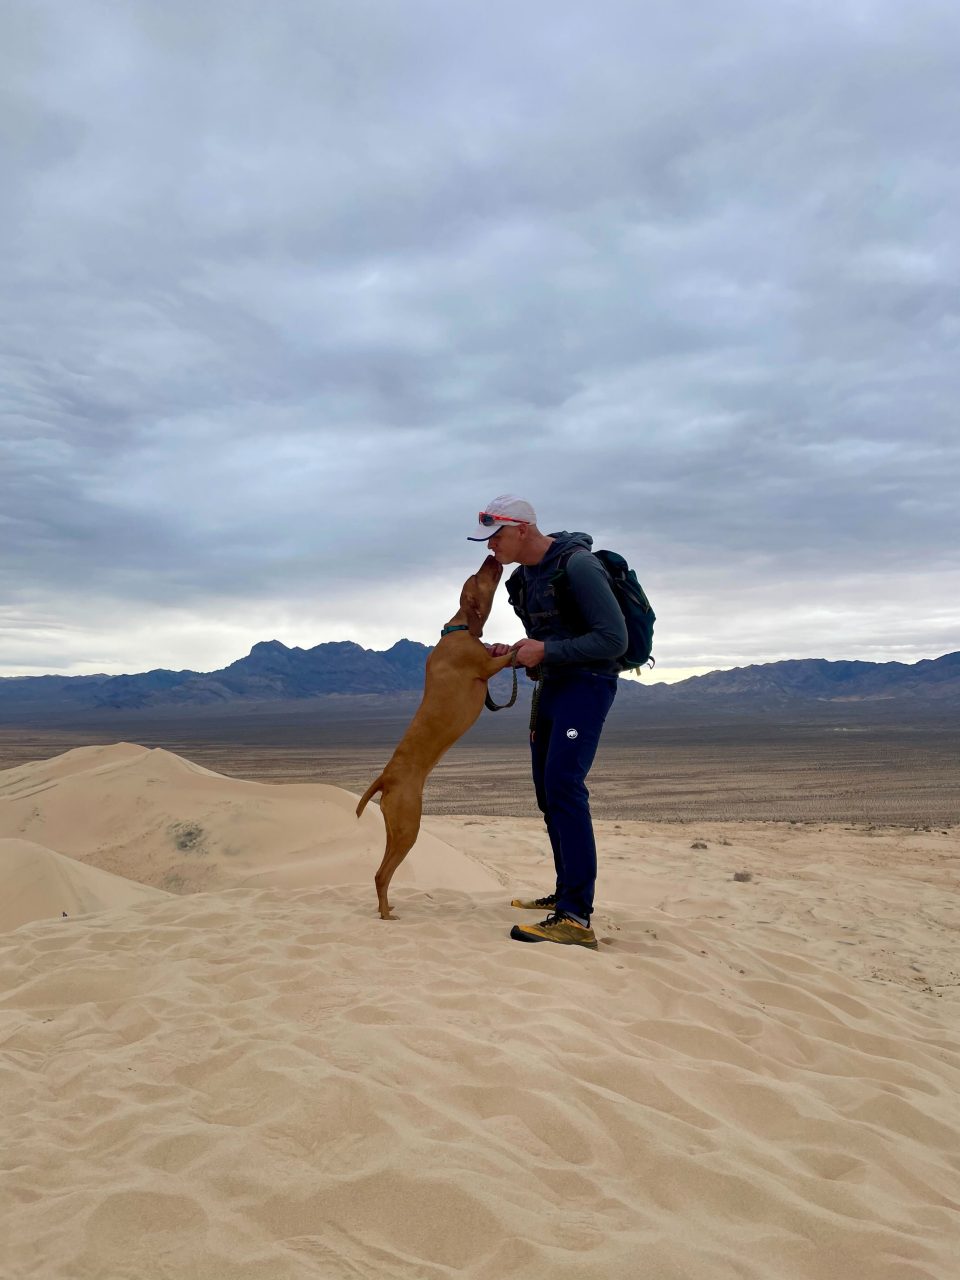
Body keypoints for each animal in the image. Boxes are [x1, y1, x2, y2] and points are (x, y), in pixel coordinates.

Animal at [355, 555, 519, 916]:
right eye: (478, 577)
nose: (491, 556)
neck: (457, 629)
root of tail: (385, 778)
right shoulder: (486, 666)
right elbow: (509, 655)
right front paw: (522, 646)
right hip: (409, 828)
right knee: (382, 874)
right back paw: (386, 915)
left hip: (395, 829)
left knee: (379, 873)